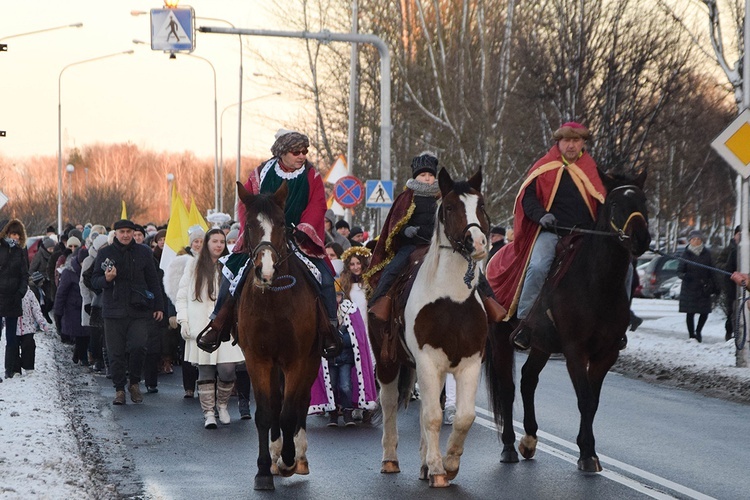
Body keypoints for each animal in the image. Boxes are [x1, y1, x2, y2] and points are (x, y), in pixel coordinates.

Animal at [235, 182, 326, 490]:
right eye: (250, 225)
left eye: (282, 224)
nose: (265, 270)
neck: (273, 301)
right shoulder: (258, 359)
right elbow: (266, 412)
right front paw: (264, 469)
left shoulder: (296, 360)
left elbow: (288, 412)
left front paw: (288, 459)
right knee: (277, 403)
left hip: (310, 361)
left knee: (299, 402)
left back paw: (298, 455)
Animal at [370, 168, 494, 488]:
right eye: (449, 207)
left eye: (481, 205)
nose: (477, 244)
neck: (451, 300)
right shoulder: (427, 360)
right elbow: (432, 417)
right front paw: (439, 469)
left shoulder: (468, 363)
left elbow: (463, 417)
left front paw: (447, 465)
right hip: (387, 362)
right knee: (390, 403)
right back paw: (390, 459)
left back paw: (425, 464)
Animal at [488, 170, 652, 470]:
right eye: (614, 203)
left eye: (643, 200)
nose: (640, 238)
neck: (598, 284)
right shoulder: (575, 350)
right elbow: (584, 399)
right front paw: (587, 454)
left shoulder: (606, 353)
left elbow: (593, 402)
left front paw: (589, 451)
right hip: (500, 339)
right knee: (508, 386)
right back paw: (509, 446)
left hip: (541, 344)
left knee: (528, 379)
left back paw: (529, 439)